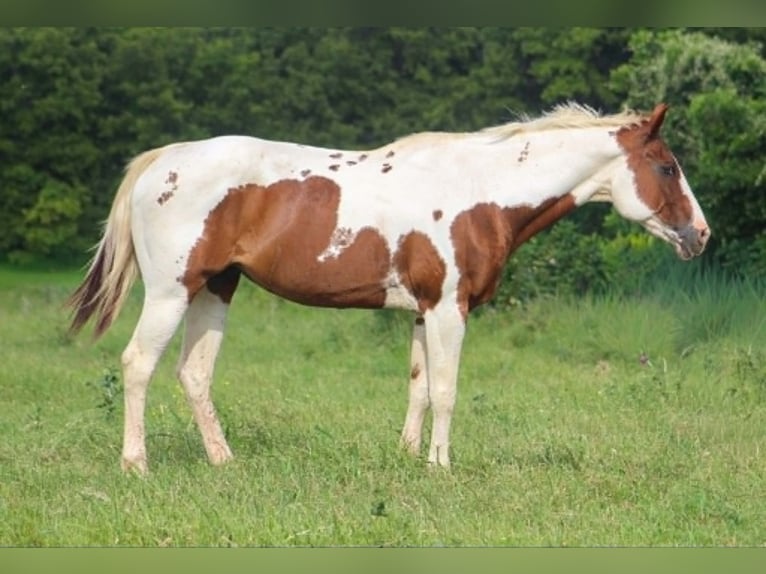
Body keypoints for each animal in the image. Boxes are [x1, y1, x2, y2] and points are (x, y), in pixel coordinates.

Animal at [68, 102, 710, 474]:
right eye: (667, 167)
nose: (699, 234)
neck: (481, 191)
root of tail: (163, 161)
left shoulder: (424, 311)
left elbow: (419, 388)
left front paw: (409, 459)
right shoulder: (450, 309)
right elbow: (447, 391)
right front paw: (441, 466)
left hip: (215, 289)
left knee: (194, 374)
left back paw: (225, 464)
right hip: (172, 293)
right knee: (138, 365)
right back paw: (136, 465)